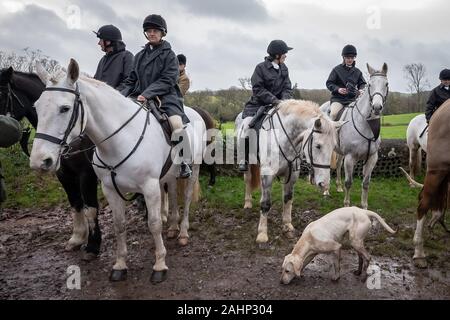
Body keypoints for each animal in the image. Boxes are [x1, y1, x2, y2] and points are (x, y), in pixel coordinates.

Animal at [0, 67, 101, 258]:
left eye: (0, 95)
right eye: (36, 107)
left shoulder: (87, 174)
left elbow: (91, 207)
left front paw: (93, 244)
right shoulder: (63, 174)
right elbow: (76, 203)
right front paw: (78, 237)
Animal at [31, 59, 206, 282]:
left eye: (64, 108)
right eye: (36, 107)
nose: (39, 160)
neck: (120, 139)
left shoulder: (149, 187)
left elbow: (154, 223)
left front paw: (159, 265)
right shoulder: (110, 189)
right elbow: (119, 225)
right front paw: (120, 265)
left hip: (193, 169)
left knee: (187, 197)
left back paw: (183, 232)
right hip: (168, 176)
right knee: (174, 195)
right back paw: (174, 228)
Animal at [236, 100, 344, 245]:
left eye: (333, 146)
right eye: (318, 146)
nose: (324, 184)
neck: (283, 136)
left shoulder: (291, 174)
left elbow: (288, 199)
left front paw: (287, 226)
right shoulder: (267, 174)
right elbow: (265, 203)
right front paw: (262, 234)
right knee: (247, 179)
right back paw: (247, 203)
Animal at [320, 63, 386, 209]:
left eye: (386, 84)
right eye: (370, 85)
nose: (376, 107)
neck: (366, 124)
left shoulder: (372, 158)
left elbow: (366, 183)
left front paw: (364, 207)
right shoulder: (350, 157)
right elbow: (349, 182)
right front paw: (346, 206)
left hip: (340, 151)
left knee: (338, 164)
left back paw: (338, 187)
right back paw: (326, 191)